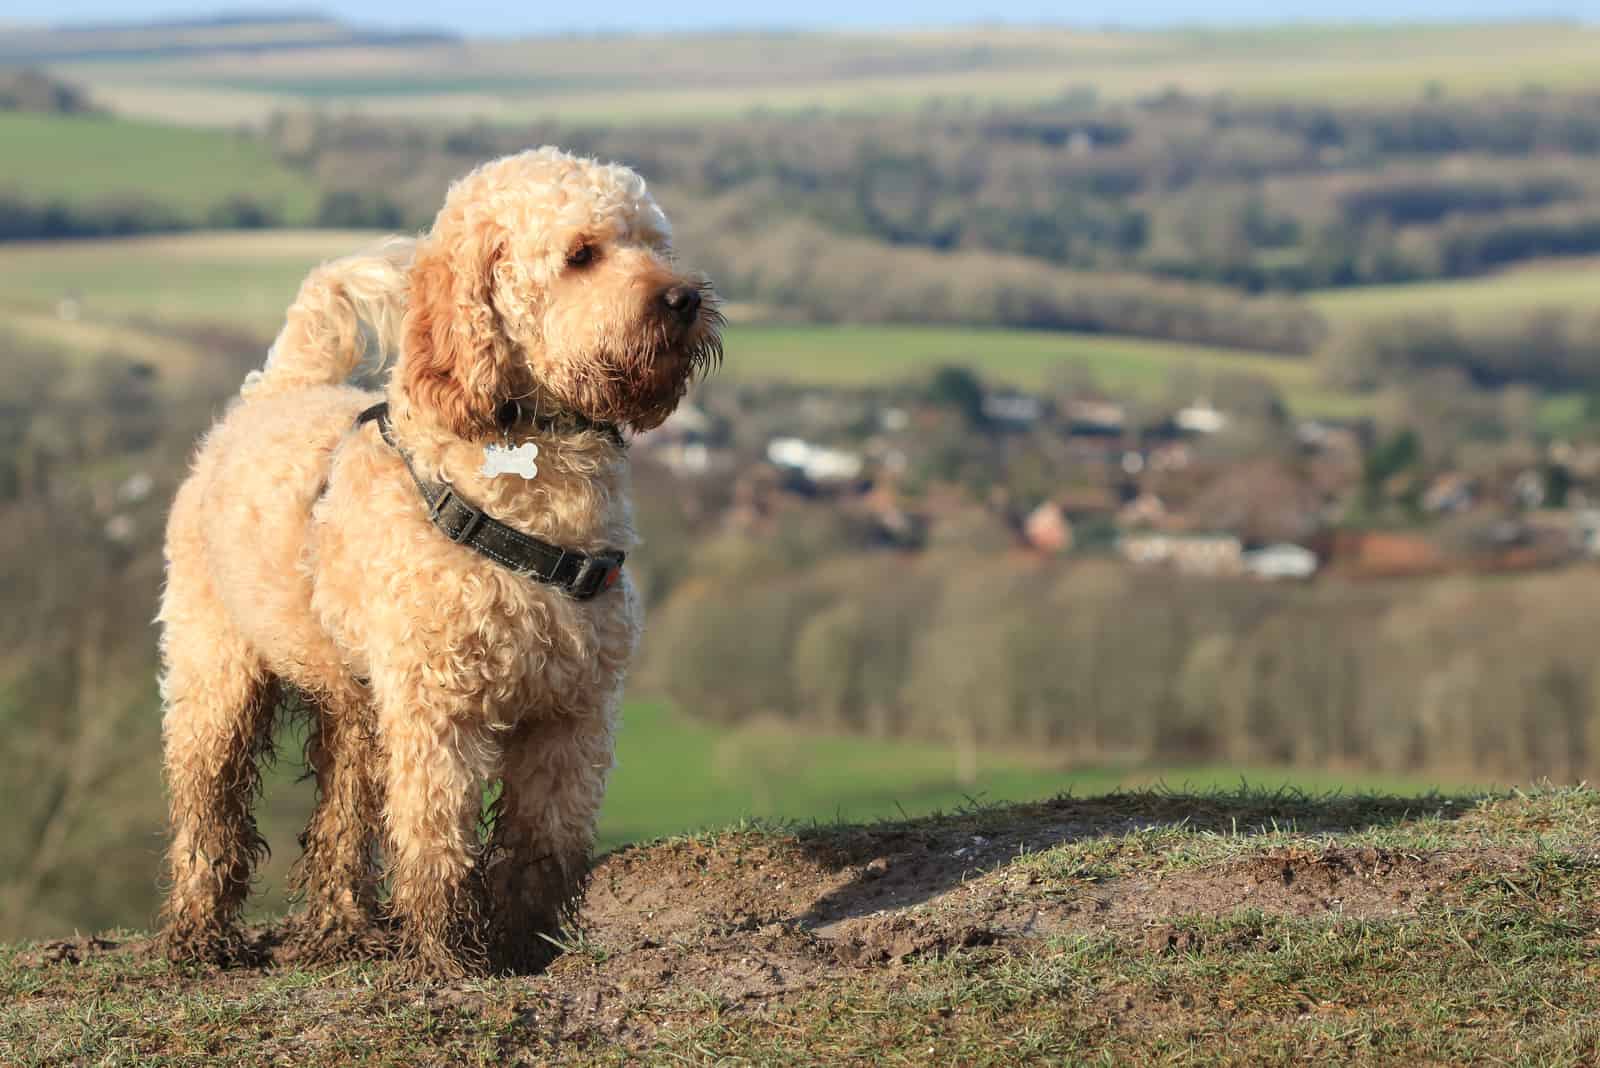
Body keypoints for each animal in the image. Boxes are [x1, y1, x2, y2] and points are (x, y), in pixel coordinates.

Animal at [154, 147, 720, 978]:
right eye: (581, 254)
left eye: (654, 242)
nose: (684, 299)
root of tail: (275, 393)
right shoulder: (436, 710)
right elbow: (436, 838)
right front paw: (451, 954)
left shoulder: (573, 711)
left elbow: (543, 843)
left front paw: (523, 946)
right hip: (216, 677)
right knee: (209, 808)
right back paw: (201, 936)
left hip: (356, 703)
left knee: (343, 813)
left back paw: (342, 929)